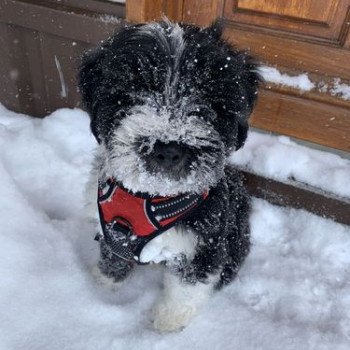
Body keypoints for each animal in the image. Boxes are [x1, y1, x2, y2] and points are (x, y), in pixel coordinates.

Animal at [79, 20, 260, 332]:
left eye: (207, 98)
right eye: (133, 89)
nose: (168, 149)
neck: (151, 194)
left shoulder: (205, 241)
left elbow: (187, 286)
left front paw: (168, 322)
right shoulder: (112, 228)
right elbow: (112, 256)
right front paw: (103, 284)